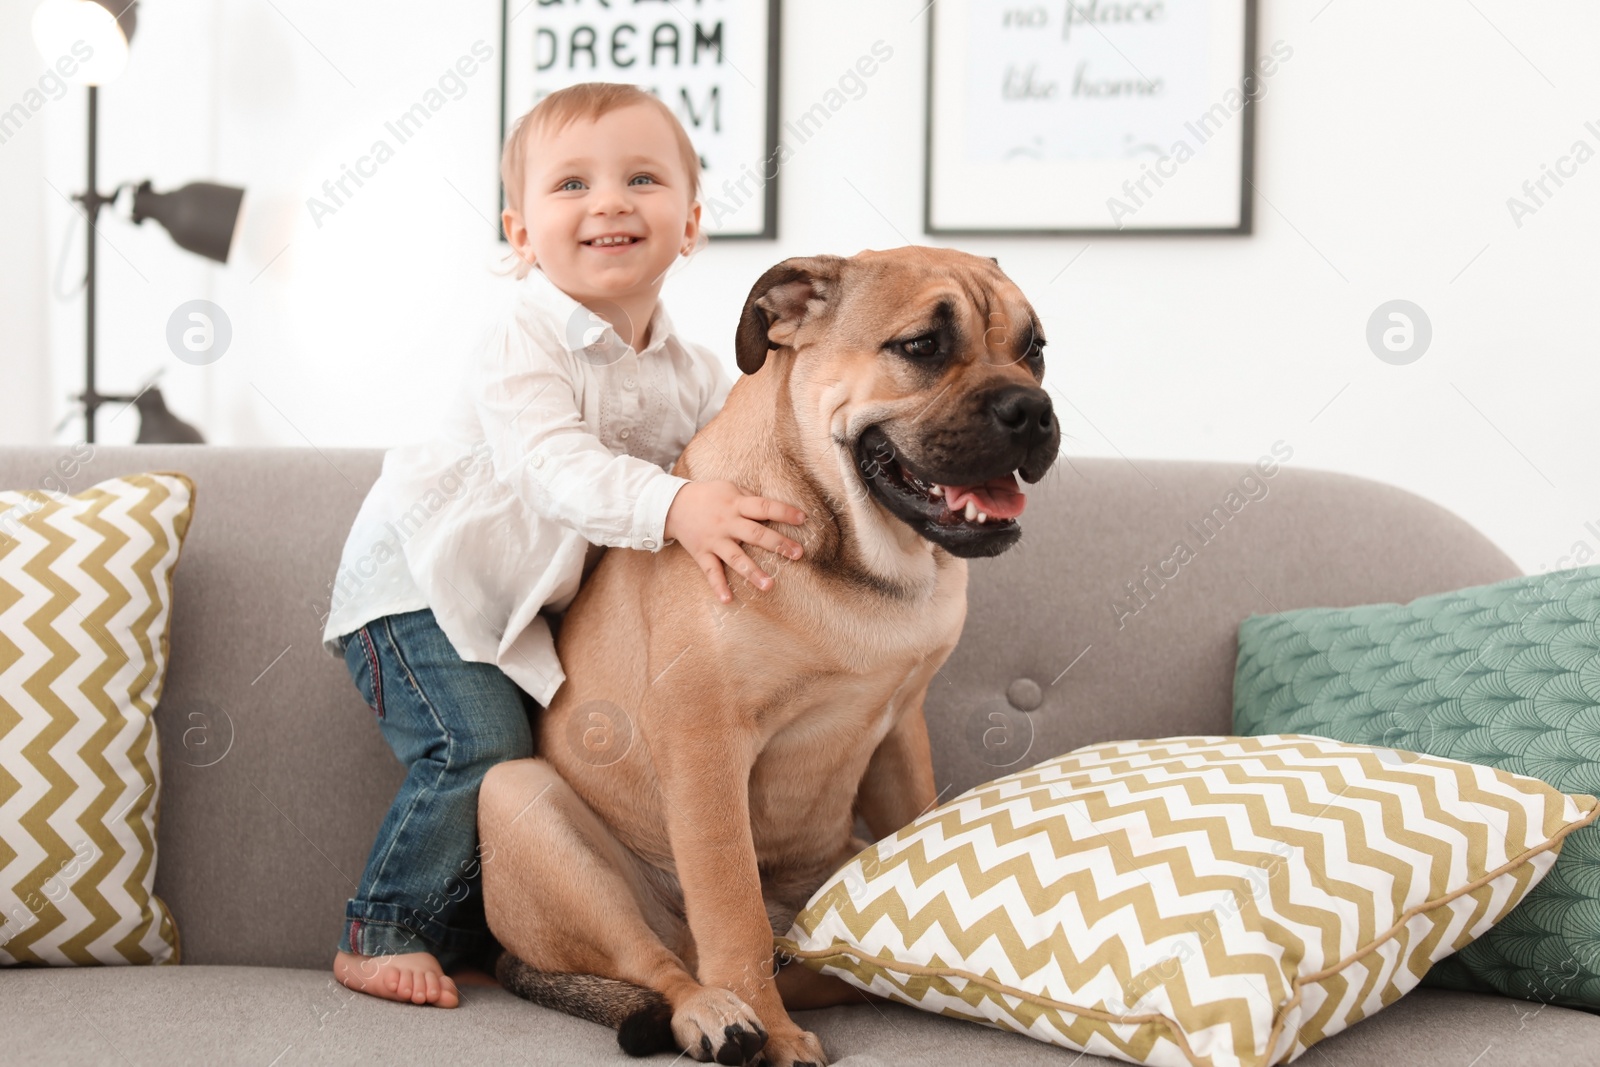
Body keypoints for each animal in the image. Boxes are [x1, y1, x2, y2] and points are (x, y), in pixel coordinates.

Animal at [480, 246, 1056, 1062]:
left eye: (1035, 348)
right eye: (921, 346)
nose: (1031, 409)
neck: (855, 551)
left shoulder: (901, 729)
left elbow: (916, 824)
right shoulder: (707, 743)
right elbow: (733, 907)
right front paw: (771, 1027)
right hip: (522, 804)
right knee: (663, 962)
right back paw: (716, 1014)